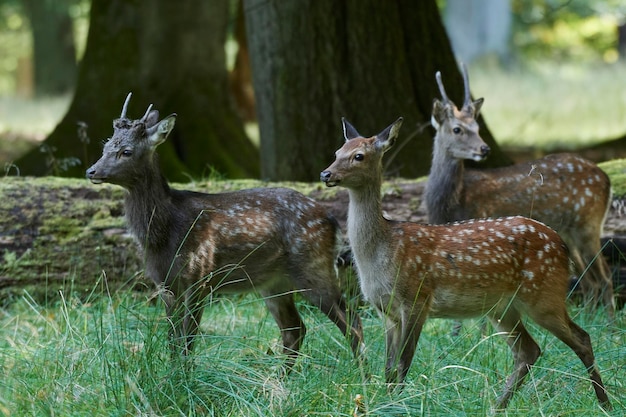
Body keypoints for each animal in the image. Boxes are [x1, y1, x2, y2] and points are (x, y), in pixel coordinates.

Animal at [85, 93, 364, 368]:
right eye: (105, 146)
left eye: (126, 151)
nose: (91, 170)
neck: (163, 234)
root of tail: (332, 220)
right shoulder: (165, 285)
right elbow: (173, 340)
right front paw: (173, 373)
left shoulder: (199, 275)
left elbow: (188, 340)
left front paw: (184, 376)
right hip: (274, 282)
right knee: (295, 329)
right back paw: (282, 377)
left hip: (314, 267)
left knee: (352, 322)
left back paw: (360, 373)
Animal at [320, 117, 608, 410]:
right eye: (337, 152)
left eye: (359, 156)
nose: (325, 174)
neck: (381, 253)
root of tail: (561, 246)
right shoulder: (385, 311)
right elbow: (388, 368)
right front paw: (387, 402)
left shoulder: (416, 299)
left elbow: (403, 362)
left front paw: (397, 405)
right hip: (503, 308)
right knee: (529, 350)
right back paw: (497, 407)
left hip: (544, 295)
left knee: (581, 338)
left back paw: (604, 403)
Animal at [422, 65, 612, 318]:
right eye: (457, 129)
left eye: (478, 128)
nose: (484, 148)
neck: (450, 202)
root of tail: (607, 179)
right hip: (569, 231)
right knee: (589, 280)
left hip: (588, 224)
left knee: (605, 277)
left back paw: (610, 322)